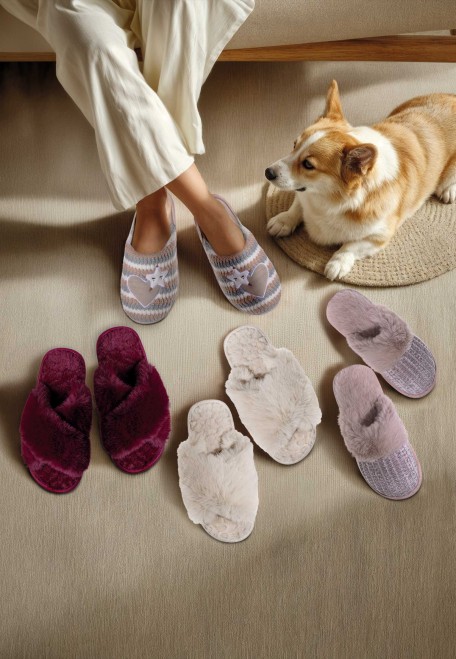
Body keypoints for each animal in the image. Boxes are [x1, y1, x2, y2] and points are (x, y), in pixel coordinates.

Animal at [265, 80, 456, 280]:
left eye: (308, 164)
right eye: (294, 145)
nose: (267, 172)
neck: (328, 199)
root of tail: (452, 97)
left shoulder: (379, 236)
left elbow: (350, 246)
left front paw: (337, 263)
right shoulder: (305, 196)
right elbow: (297, 205)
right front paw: (283, 220)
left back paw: (449, 190)